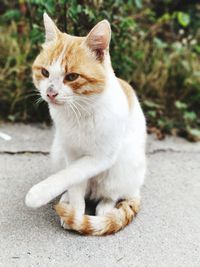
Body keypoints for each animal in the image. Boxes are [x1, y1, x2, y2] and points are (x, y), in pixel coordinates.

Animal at [25, 12, 147, 237]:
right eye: (45, 73)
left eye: (72, 76)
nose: (50, 93)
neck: (79, 112)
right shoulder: (70, 151)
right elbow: (74, 182)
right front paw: (75, 211)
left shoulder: (101, 157)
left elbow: (71, 173)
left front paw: (39, 193)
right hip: (58, 151)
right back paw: (67, 199)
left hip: (124, 165)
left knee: (112, 194)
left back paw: (105, 207)